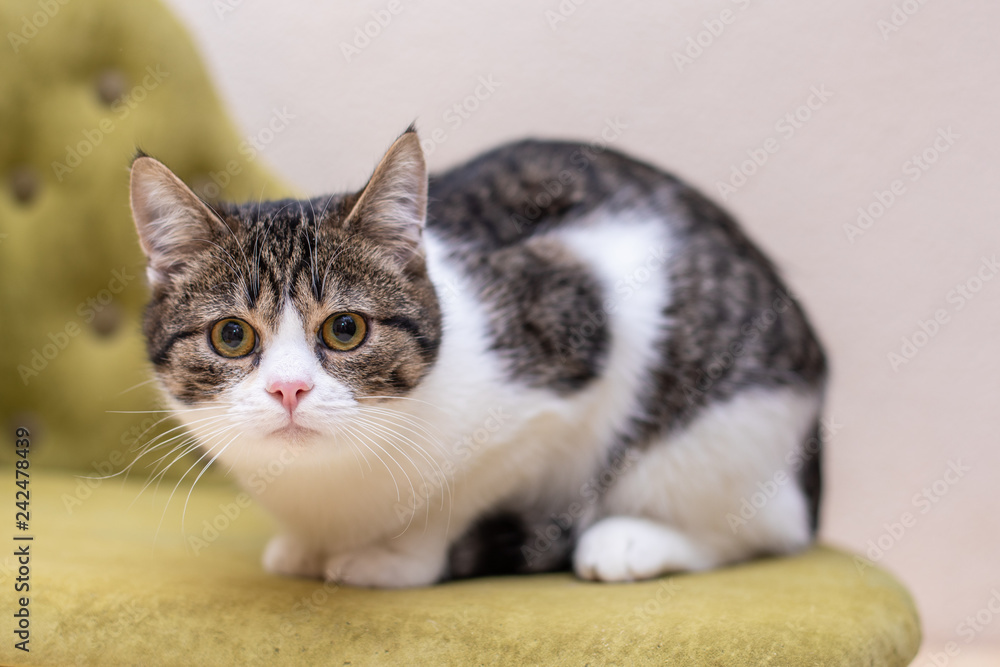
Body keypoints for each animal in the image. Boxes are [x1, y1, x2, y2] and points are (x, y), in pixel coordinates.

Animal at [129, 128, 824, 588]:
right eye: (232, 337)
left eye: (346, 329)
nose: (289, 389)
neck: (329, 486)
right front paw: (303, 549)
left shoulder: (579, 322)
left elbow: (458, 493)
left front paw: (397, 558)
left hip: (722, 425)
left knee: (764, 529)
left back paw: (633, 539)